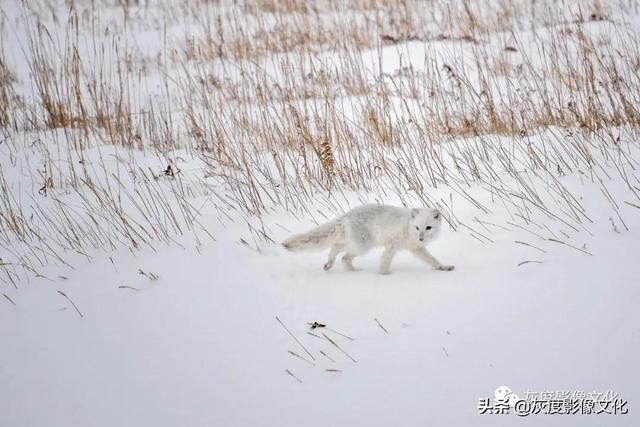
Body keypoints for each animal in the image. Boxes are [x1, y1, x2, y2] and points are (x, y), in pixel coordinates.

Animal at [282, 206, 456, 276]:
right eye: (417, 227)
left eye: (428, 227)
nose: (421, 238)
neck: (408, 228)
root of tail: (347, 215)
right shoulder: (392, 245)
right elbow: (385, 260)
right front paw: (385, 274)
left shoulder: (416, 248)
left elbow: (432, 260)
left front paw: (443, 267)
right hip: (362, 246)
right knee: (337, 247)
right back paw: (331, 264)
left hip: (360, 246)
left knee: (344, 257)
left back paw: (353, 272)